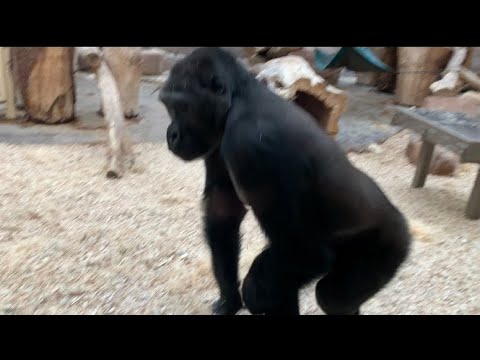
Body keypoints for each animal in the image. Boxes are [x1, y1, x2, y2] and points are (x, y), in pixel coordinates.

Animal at [158, 47, 412, 316]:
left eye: (182, 107)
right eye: (169, 106)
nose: (172, 135)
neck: (239, 97)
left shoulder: (252, 145)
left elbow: (304, 251)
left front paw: (252, 289)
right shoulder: (217, 144)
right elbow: (223, 215)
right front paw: (229, 300)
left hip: (389, 245)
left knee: (331, 295)